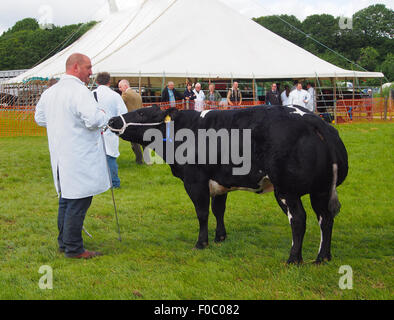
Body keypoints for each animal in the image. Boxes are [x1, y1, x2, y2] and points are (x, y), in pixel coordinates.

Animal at [107, 105, 348, 264]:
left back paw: (293, 259)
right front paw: (220, 237)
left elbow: (202, 213)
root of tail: (313, 119)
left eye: (141, 113)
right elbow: (218, 210)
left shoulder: (195, 181)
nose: (112, 121)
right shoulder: (219, 182)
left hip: (286, 189)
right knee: (325, 218)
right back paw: (322, 257)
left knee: (298, 219)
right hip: (321, 189)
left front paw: (201, 243)